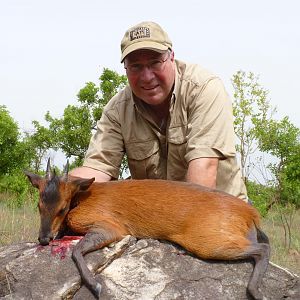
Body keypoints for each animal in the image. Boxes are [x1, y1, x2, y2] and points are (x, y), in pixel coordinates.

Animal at [25, 161, 270, 298]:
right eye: (38, 206)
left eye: (62, 208)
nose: (44, 239)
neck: (82, 198)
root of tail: (251, 213)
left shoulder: (111, 227)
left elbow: (76, 251)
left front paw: (95, 286)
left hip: (209, 242)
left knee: (263, 249)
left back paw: (256, 292)